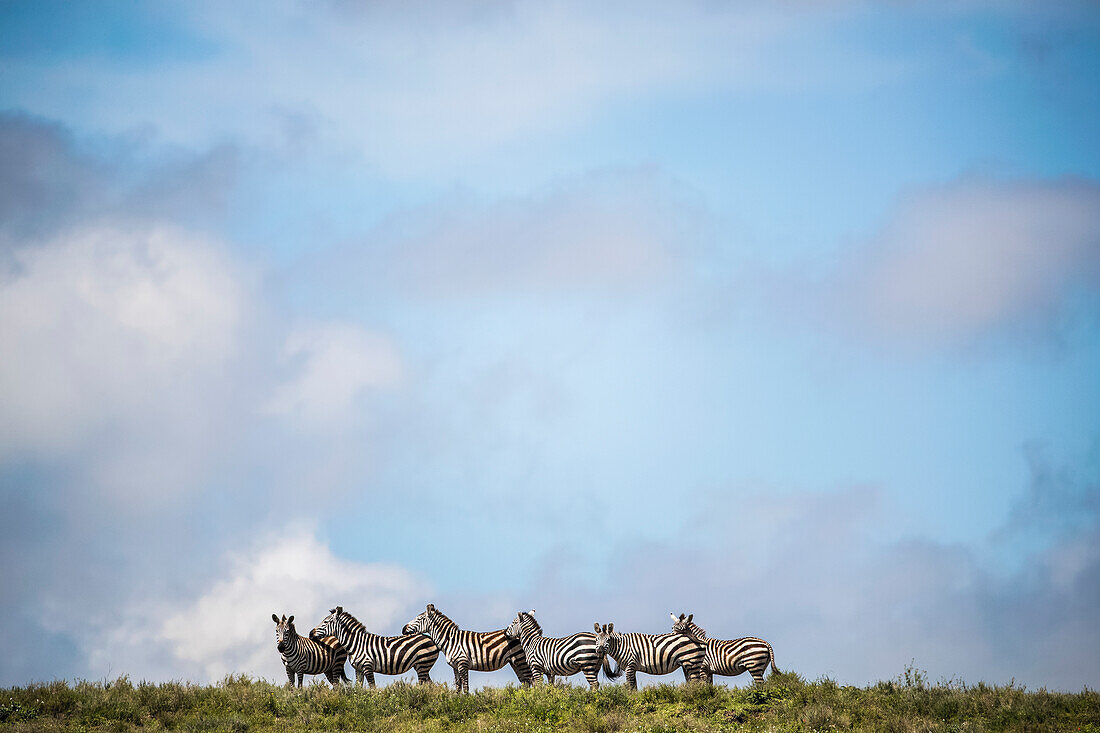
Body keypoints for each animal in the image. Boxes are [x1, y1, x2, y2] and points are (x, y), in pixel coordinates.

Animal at [400, 598, 532, 691]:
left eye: (418, 619)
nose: (403, 629)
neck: (450, 640)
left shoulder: (463, 663)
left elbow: (466, 686)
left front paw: (466, 702)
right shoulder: (455, 666)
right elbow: (458, 686)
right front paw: (457, 701)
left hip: (521, 659)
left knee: (531, 679)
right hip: (514, 662)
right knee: (525, 681)